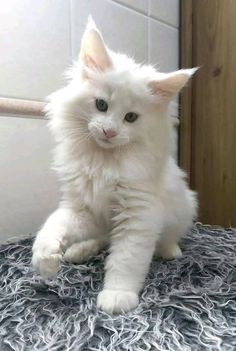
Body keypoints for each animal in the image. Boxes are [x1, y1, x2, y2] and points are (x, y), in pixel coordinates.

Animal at [31, 17, 197, 314]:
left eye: (131, 117)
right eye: (101, 105)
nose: (109, 132)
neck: (103, 162)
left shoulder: (138, 215)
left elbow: (125, 261)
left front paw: (117, 297)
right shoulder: (82, 208)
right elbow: (54, 224)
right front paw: (46, 259)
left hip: (185, 208)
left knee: (167, 238)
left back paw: (170, 251)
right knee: (101, 239)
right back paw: (78, 251)